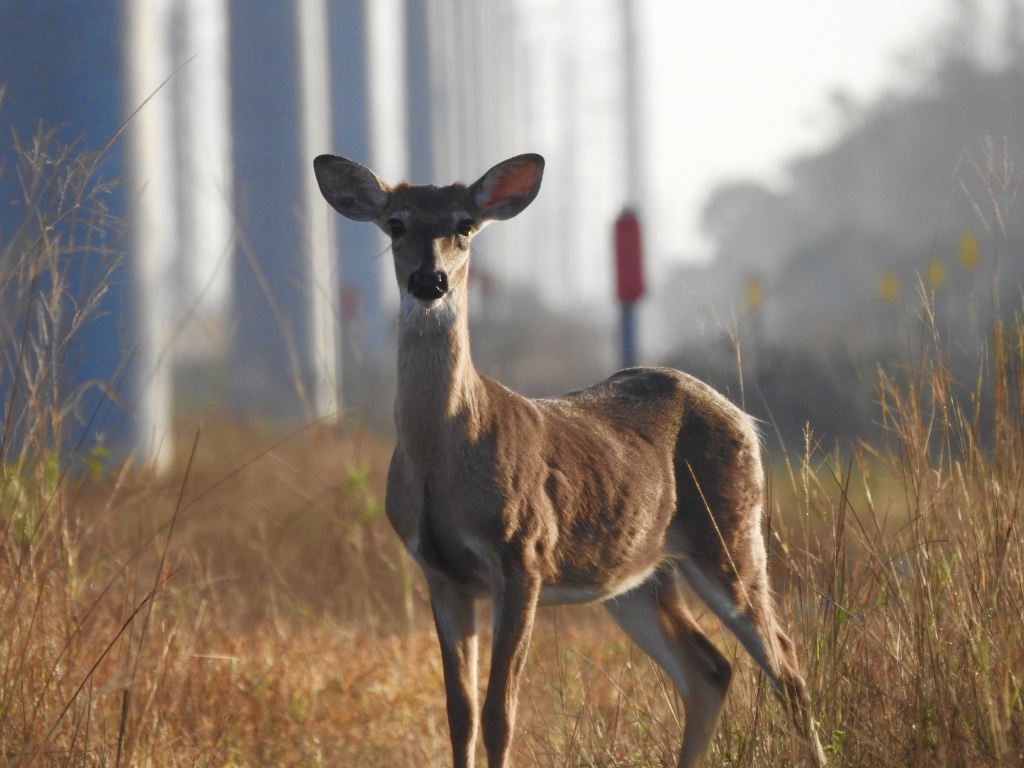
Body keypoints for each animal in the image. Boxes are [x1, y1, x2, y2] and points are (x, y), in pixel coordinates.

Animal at [309, 154, 823, 768]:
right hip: (638, 577)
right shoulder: (440, 572)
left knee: (786, 664)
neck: (444, 459)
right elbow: (459, 713)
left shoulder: (523, 554)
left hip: (729, 532)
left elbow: (500, 712)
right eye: (396, 223)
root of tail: (745, 419)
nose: (429, 281)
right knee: (711, 669)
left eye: (464, 224)